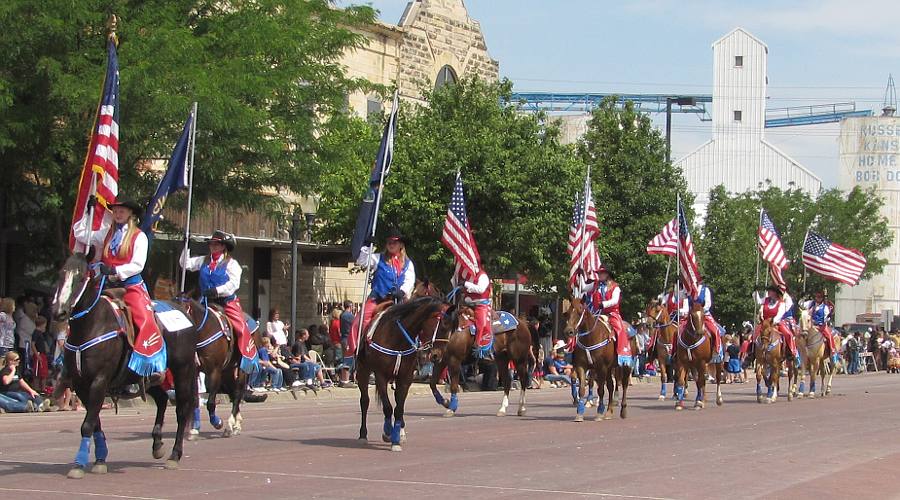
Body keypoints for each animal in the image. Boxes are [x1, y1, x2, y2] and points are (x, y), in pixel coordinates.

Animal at [51, 254, 198, 476]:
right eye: (61, 274)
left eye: (82, 276)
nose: (59, 312)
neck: (92, 324)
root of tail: (183, 312)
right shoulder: (81, 383)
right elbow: (94, 423)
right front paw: (100, 458)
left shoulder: (99, 380)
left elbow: (88, 424)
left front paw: (79, 464)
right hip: (147, 376)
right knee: (162, 399)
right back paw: (157, 444)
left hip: (183, 371)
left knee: (182, 410)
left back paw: (174, 455)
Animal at [180, 298, 262, 440]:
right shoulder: (195, 371)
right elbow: (195, 400)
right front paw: (193, 430)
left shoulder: (215, 371)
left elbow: (211, 402)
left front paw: (217, 422)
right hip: (227, 372)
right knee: (233, 394)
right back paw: (236, 424)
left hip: (241, 370)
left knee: (237, 394)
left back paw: (230, 426)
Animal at [356, 294, 458, 452]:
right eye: (443, 325)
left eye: (452, 329)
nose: (437, 356)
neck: (396, 337)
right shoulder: (380, 376)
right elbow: (387, 407)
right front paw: (388, 432)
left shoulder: (405, 378)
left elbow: (399, 408)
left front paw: (396, 439)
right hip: (363, 372)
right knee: (365, 401)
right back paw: (363, 435)